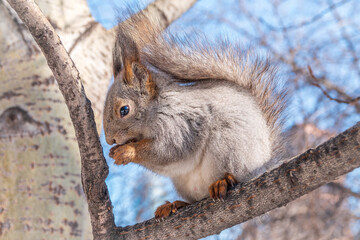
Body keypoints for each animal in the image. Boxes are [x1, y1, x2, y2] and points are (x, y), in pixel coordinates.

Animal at [103, 10, 286, 219]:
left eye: (124, 110)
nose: (110, 140)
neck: (156, 110)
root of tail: (264, 162)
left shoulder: (181, 124)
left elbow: (168, 150)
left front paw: (127, 151)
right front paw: (114, 151)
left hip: (231, 149)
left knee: (236, 176)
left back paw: (223, 182)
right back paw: (174, 204)